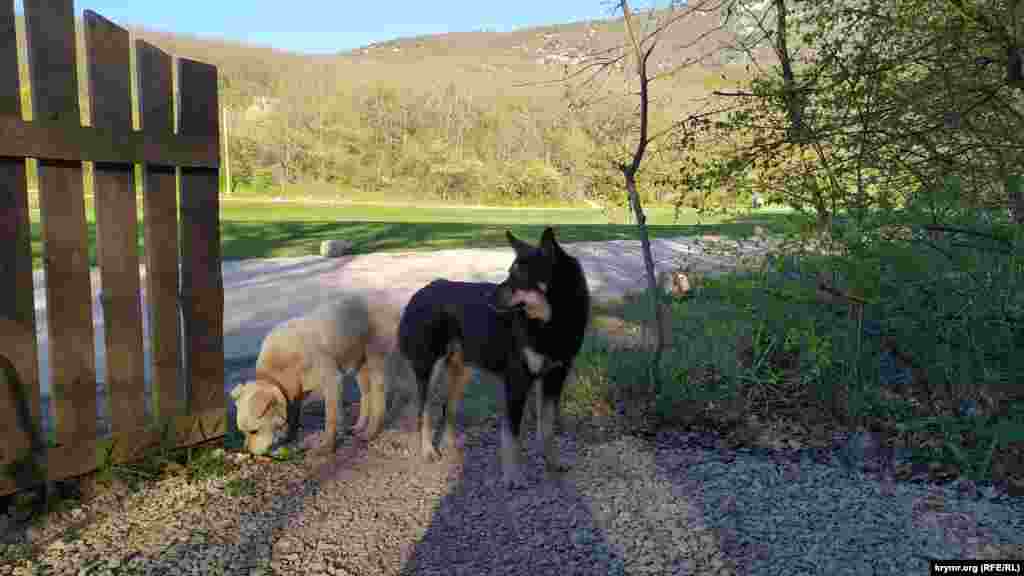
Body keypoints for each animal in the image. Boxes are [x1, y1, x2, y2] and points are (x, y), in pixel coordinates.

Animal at [230, 293, 397, 455]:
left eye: (254, 431)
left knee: (379, 397)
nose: (248, 452)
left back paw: (371, 432)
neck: (282, 363)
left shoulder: (332, 381)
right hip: (359, 366)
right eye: (243, 432)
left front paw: (328, 447)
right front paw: (290, 438)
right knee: (366, 395)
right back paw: (359, 426)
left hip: (375, 360)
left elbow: (331, 419)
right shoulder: (295, 392)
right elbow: (294, 417)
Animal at [387, 226, 589, 485]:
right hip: (430, 370)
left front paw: (552, 462)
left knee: (447, 409)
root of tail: (419, 293)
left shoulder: (555, 378)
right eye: (509, 273)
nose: (489, 298)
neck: (551, 324)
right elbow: (512, 435)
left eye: (519, 276)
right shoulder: (517, 381)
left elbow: (547, 428)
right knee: (424, 412)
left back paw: (452, 447)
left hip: (461, 372)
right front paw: (512, 476)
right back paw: (428, 451)